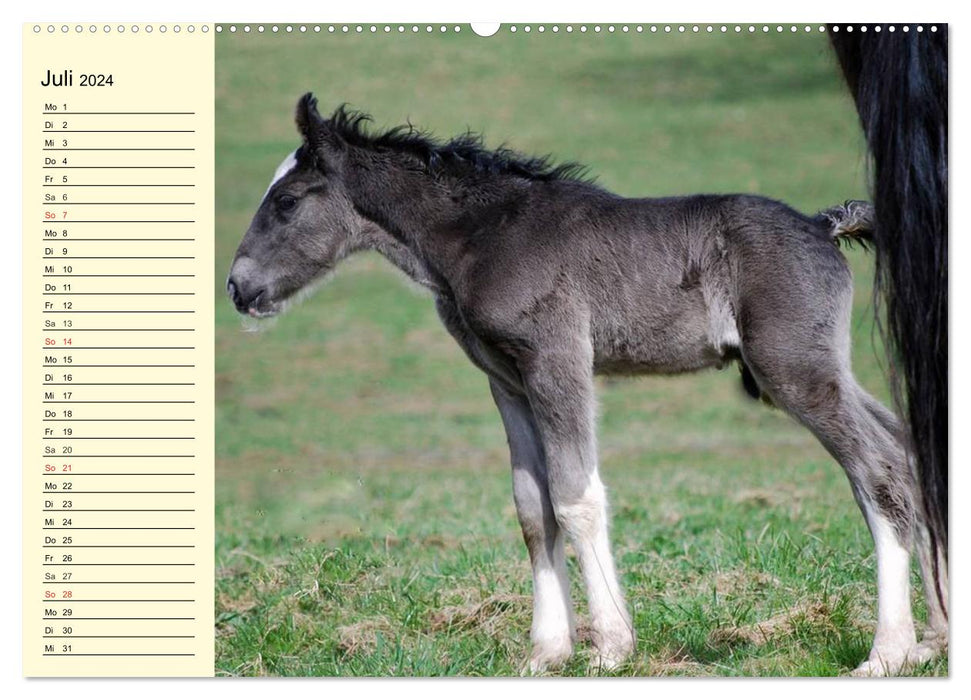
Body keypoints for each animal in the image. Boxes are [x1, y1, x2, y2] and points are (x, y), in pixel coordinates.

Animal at [224, 95, 944, 676]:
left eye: (287, 201)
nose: (238, 287)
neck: (484, 237)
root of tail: (821, 226)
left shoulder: (557, 359)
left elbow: (575, 496)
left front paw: (610, 649)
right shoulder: (506, 381)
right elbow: (531, 506)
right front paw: (546, 651)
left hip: (792, 368)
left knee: (877, 468)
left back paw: (886, 651)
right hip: (821, 368)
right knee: (904, 450)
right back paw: (934, 636)